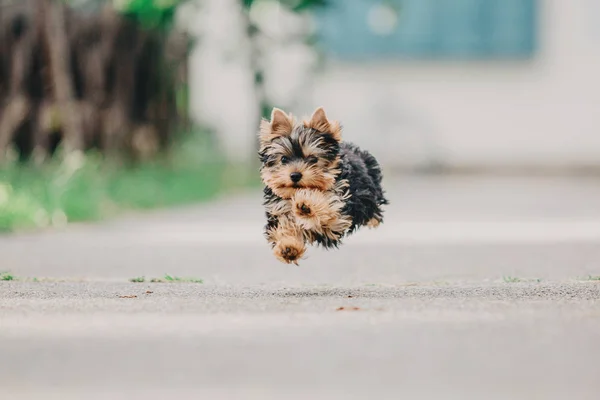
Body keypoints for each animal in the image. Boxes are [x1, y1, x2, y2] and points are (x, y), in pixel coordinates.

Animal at [258, 105, 390, 266]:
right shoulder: (279, 210)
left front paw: (306, 204)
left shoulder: (339, 214)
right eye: (283, 159)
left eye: (313, 159)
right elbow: (283, 227)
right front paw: (288, 247)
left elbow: (327, 206)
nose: (295, 175)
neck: (294, 194)